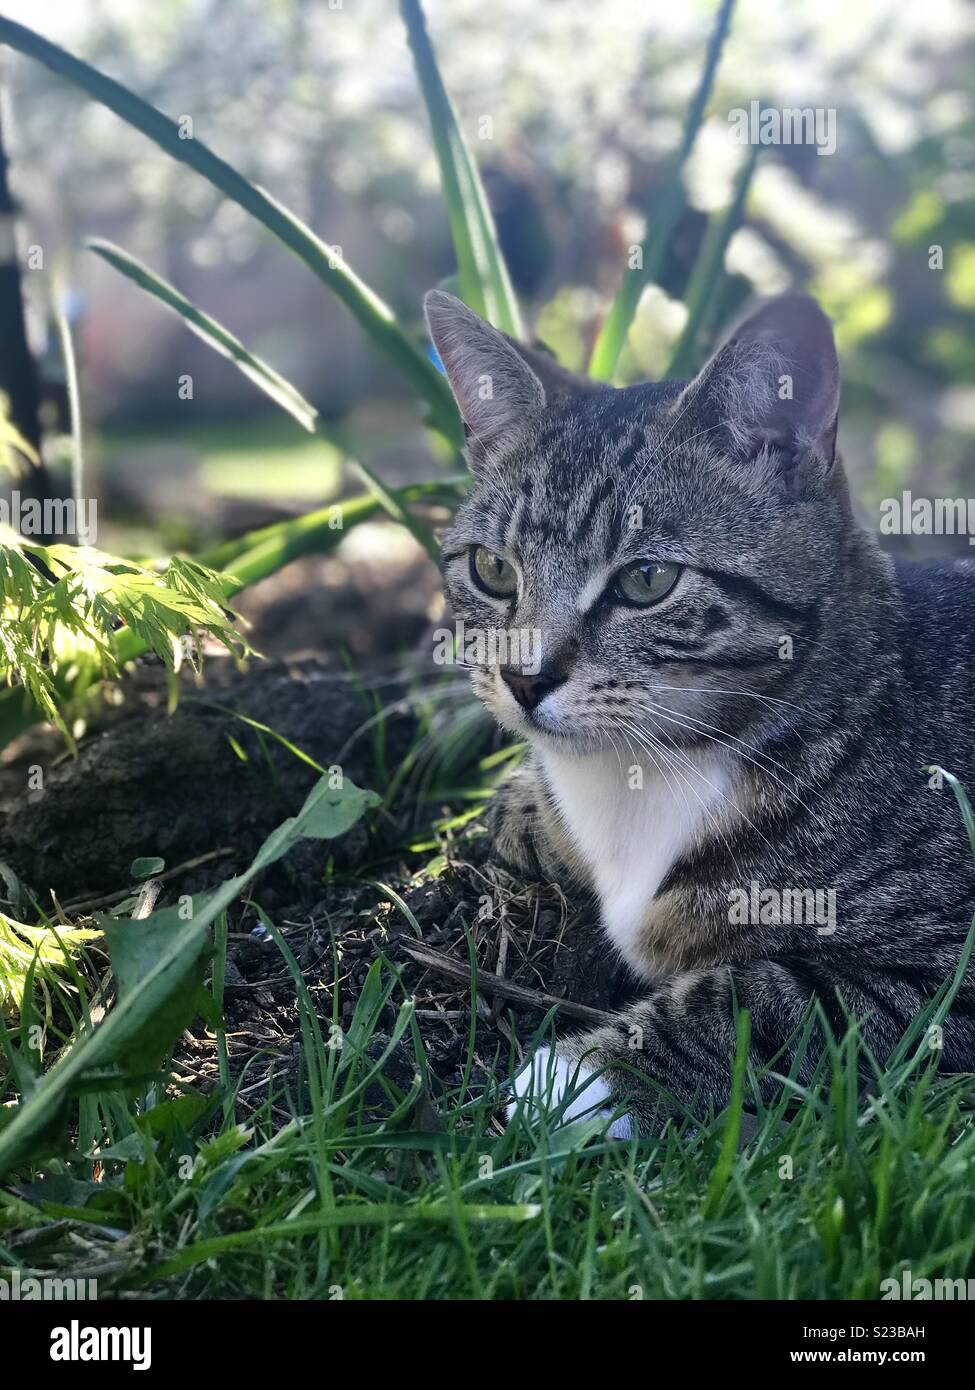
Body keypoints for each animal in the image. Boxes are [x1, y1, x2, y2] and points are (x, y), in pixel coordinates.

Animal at [422, 287, 973, 1134]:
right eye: (491, 569)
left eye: (646, 580)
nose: (522, 677)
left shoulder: (946, 974)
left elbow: (766, 1003)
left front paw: (582, 1078)